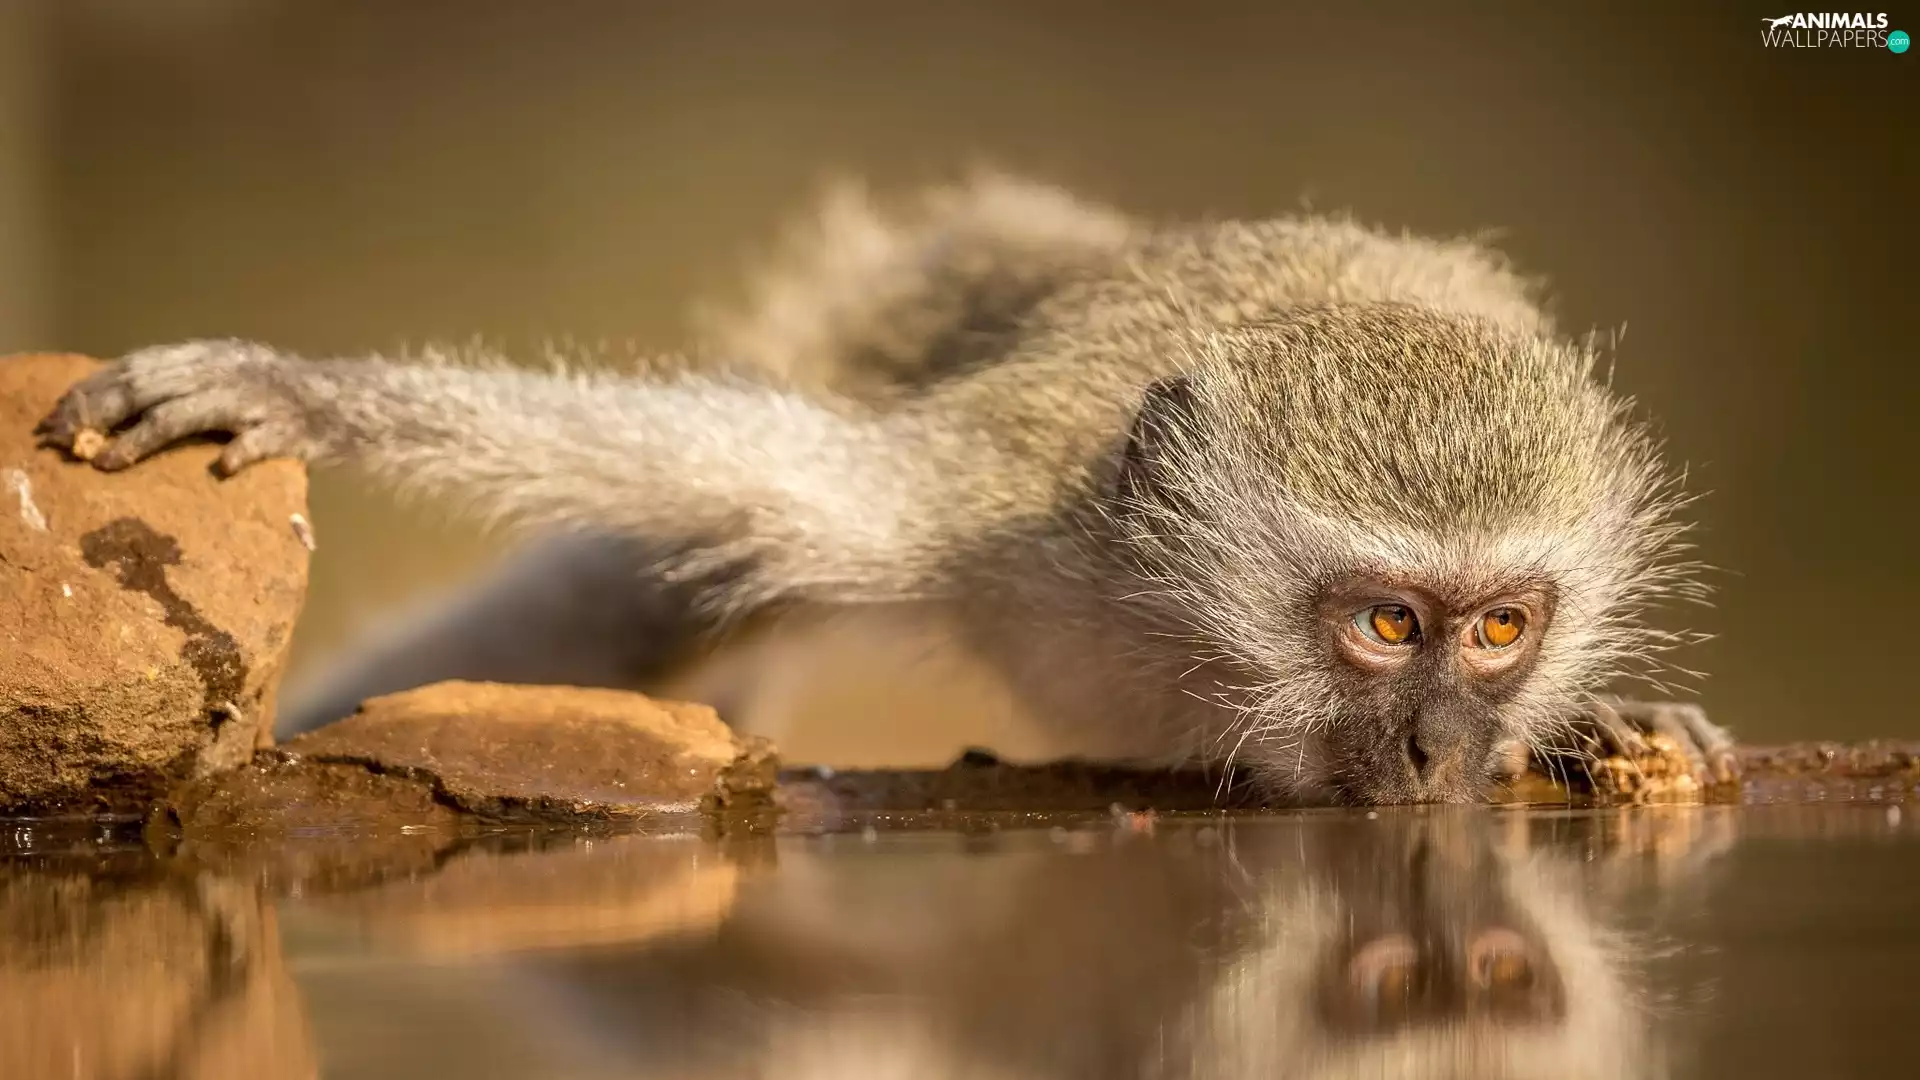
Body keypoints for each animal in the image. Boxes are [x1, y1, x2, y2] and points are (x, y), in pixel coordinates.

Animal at [35, 173, 1737, 805]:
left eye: (1501, 629)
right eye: (1389, 626)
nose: (1447, 747)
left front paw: (1604, 721)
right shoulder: (985, 509)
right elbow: (671, 466)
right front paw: (303, 388)